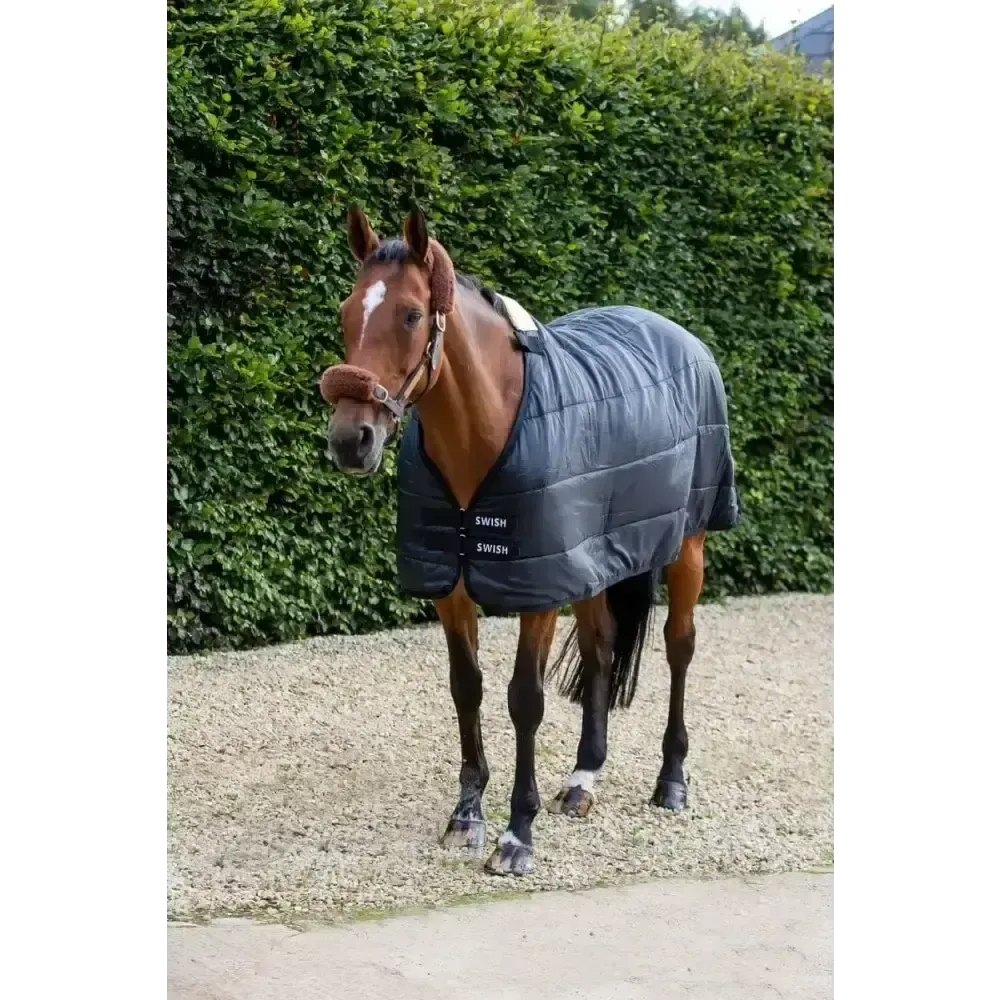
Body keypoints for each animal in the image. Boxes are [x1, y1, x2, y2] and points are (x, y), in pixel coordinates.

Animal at [319, 206, 740, 876]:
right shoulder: (454, 585)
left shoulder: (537, 590)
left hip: (688, 545)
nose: (350, 440)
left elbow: (525, 700)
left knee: (680, 647)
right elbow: (466, 687)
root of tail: (681, 336)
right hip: (593, 561)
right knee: (600, 649)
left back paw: (672, 779)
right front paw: (467, 815)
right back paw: (583, 778)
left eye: (410, 314)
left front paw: (517, 833)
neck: (488, 430)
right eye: (347, 311)